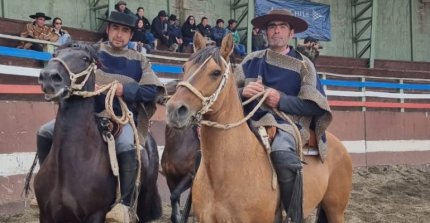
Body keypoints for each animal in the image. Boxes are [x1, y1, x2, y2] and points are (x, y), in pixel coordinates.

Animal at [35, 44, 162, 223]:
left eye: (85, 59)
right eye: (55, 54)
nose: (49, 77)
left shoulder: (95, 215)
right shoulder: (46, 215)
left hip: (144, 198)